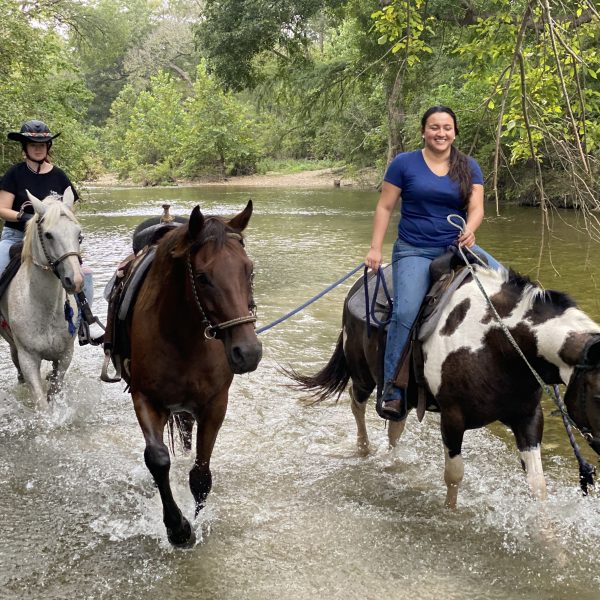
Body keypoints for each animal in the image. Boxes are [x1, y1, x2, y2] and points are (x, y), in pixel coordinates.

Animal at [0, 190, 84, 410]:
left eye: (79, 235)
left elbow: (54, 389)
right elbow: (42, 403)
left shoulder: (65, 355)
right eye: (48, 235)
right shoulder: (28, 359)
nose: (75, 281)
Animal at [126, 202, 260, 544]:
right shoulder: (145, 398)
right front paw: (178, 528)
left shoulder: (215, 403)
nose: (248, 352)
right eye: (202, 277)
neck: (181, 337)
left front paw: (196, 520)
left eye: (249, 270)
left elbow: (200, 473)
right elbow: (157, 459)